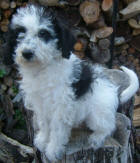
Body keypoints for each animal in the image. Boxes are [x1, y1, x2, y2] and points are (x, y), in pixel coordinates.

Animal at [3, 4, 139, 162]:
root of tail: (115, 93)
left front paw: (53, 150)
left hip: (97, 116)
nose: (27, 53)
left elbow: (56, 130)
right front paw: (42, 140)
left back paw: (97, 138)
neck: (43, 69)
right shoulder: (41, 105)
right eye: (19, 34)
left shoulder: (61, 107)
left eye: (43, 33)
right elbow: (44, 124)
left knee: (109, 127)